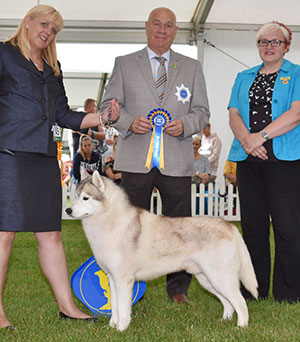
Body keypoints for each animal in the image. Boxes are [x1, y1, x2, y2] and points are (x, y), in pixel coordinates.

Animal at [66, 171, 258, 332]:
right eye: (75, 197)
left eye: (86, 198)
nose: (68, 209)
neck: (110, 223)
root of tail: (227, 224)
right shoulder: (112, 278)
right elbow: (114, 305)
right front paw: (112, 325)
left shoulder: (123, 279)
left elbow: (123, 307)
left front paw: (121, 328)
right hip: (208, 279)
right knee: (228, 303)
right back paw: (224, 321)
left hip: (220, 278)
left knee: (240, 302)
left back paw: (241, 327)